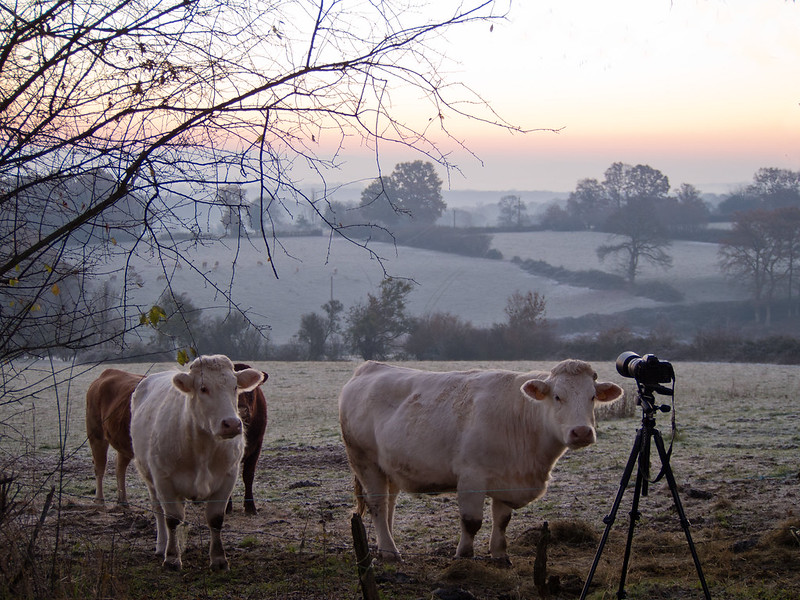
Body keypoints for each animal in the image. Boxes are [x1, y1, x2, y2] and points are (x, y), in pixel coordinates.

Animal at [86, 368, 145, 504]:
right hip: (96, 435)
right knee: (100, 466)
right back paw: (99, 500)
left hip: (123, 441)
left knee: (119, 467)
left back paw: (122, 501)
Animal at [130, 356, 262, 572]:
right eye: (203, 388)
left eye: (235, 386)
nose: (232, 424)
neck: (202, 449)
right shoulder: (163, 479)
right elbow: (172, 519)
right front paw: (172, 558)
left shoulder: (227, 477)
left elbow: (215, 519)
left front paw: (219, 559)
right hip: (149, 477)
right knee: (159, 511)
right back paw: (161, 546)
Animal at [338, 360, 624, 564]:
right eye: (557, 397)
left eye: (592, 396)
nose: (582, 432)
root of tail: (369, 368)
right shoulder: (471, 477)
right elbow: (472, 521)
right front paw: (464, 555)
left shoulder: (508, 479)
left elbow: (502, 520)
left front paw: (500, 555)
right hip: (364, 460)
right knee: (377, 504)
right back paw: (390, 552)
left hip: (390, 467)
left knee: (389, 505)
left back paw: (385, 546)